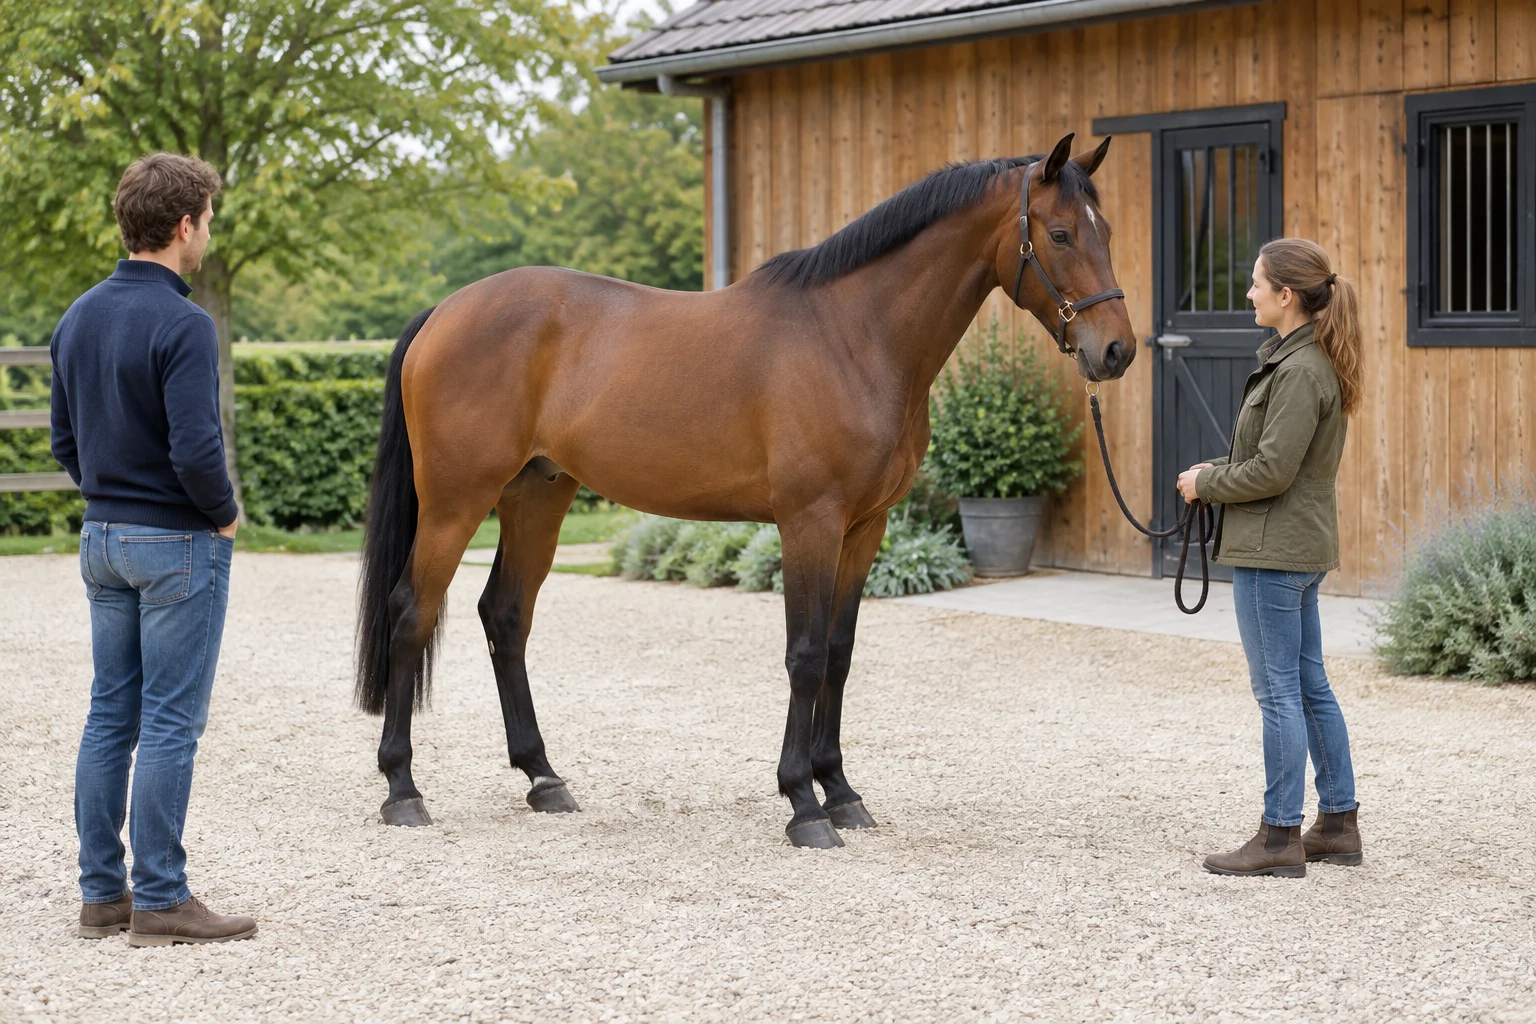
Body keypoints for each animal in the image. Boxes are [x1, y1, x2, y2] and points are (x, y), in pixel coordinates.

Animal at [355, 132, 1137, 849]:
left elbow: (840, 654)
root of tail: (442, 313)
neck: (854, 338)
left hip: (537, 496)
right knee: (411, 611)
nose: (1116, 351)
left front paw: (842, 792)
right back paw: (403, 789)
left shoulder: (866, 529)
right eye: (1060, 233)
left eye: (1105, 231)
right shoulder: (809, 523)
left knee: (506, 616)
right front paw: (803, 805)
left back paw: (544, 778)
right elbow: (805, 654)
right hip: (456, 500)